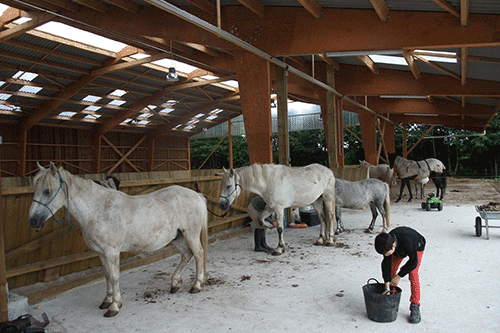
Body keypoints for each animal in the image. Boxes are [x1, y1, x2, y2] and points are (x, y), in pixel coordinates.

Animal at [28, 163, 208, 316]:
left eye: (47, 191)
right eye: (36, 189)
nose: (33, 221)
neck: (98, 209)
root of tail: (197, 195)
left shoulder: (111, 252)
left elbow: (114, 277)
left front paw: (114, 306)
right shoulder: (101, 253)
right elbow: (107, 275)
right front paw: (107, 301)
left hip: (191, 234)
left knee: (198, 254)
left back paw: (197, 285)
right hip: (178, 237)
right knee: (186, 255)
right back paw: (174, 284)